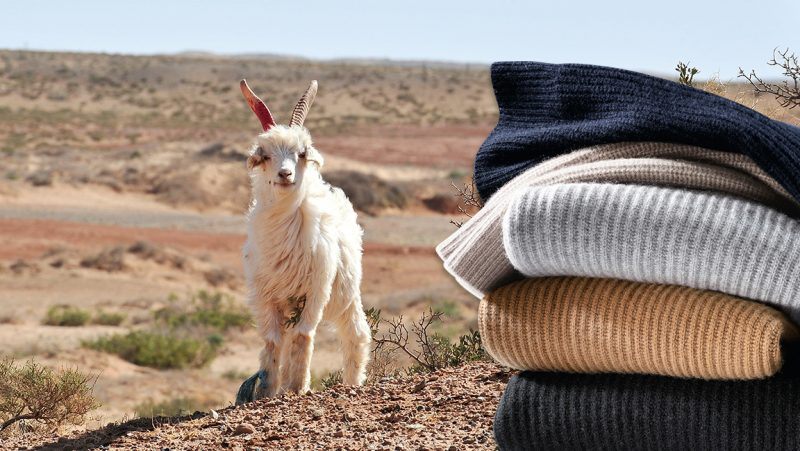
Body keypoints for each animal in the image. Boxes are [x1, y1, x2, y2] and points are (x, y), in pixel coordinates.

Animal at [237, 79, 371, 401]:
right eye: (266, 155)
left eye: (301, 153)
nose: (285, 174)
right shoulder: (266, 294)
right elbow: (273, 341)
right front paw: (268, 390)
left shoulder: (316, 289)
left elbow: (303, 335)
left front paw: (298, 386)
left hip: (347, 293)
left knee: (356, 335)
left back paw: (353, 381)